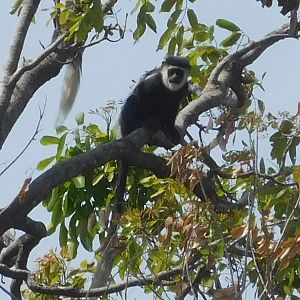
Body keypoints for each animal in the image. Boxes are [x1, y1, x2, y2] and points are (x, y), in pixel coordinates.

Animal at [116, 55, 191, 211]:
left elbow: (174, 108)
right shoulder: (152, 82)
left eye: (179, 73)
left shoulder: (183, 88)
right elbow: (142, 98)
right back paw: (141, 125)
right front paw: (147, 123)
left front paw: (171, 130)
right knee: (133, 100)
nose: (174, 77)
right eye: (172, 71)